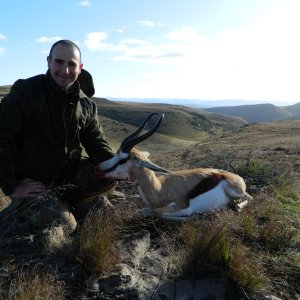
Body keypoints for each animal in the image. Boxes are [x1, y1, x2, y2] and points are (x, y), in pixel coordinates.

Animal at [95, 112, 251, 220]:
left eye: (123, 159)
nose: (98, 168)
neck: (159, 188)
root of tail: (233, 175)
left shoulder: (183, 208)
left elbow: (160, 214)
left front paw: (194, 216)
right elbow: (147, 212)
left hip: (236, 192)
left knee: (249, 198)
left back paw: (236, 207)